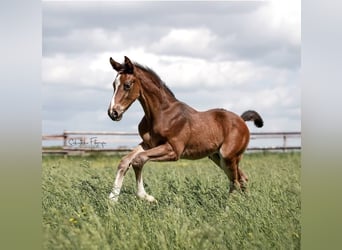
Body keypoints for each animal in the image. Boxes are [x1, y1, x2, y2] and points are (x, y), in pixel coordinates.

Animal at [108, 55, 264, 202]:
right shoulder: (148, 144)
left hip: (228, 156)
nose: (113, 113)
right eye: (113, 85)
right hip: (217, 156)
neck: (161, 113)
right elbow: (125, 161)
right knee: (242, 178)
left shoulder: (174, 150)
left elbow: (138, 160)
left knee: (235, 181)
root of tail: (241, 120)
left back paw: (227, 208)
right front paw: (112, 200)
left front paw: (148, 197)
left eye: (127, 85)